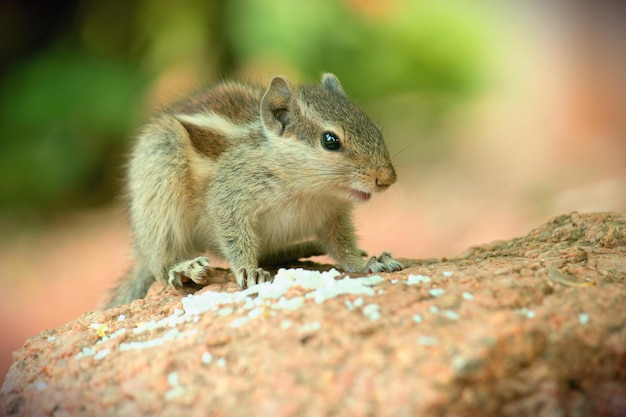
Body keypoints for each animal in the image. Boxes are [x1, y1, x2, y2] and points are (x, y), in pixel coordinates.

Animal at [103, 71, 400, 308]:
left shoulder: (334, 215)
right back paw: (182, 267)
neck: (308, 189)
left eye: (374, 127)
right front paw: (249, 271)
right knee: (159, 262)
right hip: (160, 172)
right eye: (330, 141)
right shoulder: (229, 197)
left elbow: (344, 247)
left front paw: (368, 262)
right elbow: (233, 234)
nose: (388, 178)